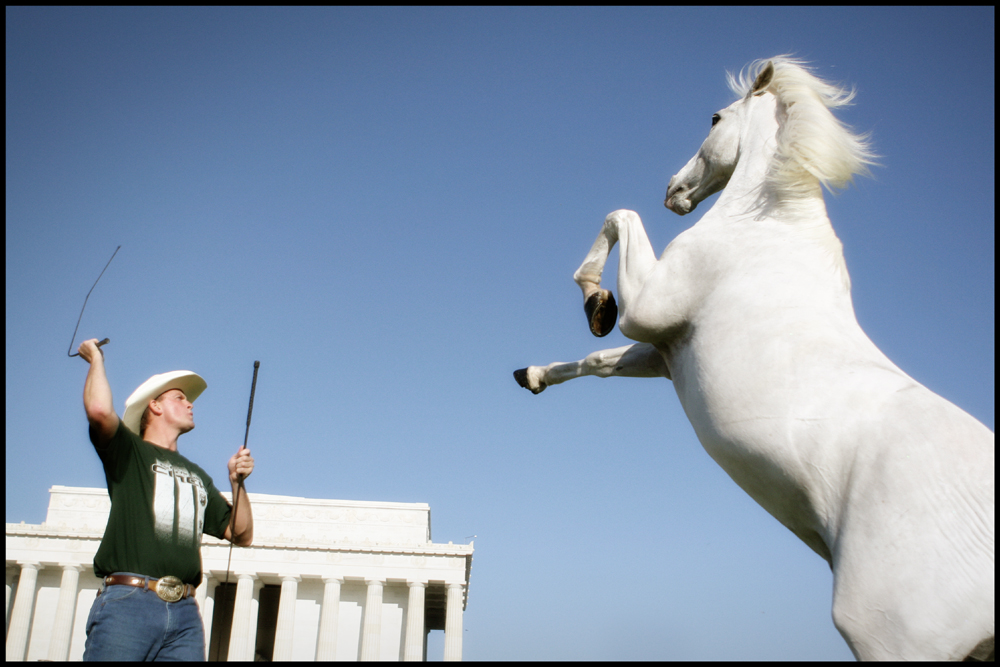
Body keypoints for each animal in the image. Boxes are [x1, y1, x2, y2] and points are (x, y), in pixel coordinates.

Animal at [516, 58, 992, 664]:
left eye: (715, 118)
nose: (674, 191)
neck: (765, 226)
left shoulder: (648, 311)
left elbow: (619, 219)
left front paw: (595, 300)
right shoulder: (664, 352)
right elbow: (599, 359)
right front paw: (532, 375)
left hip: (889, 635)